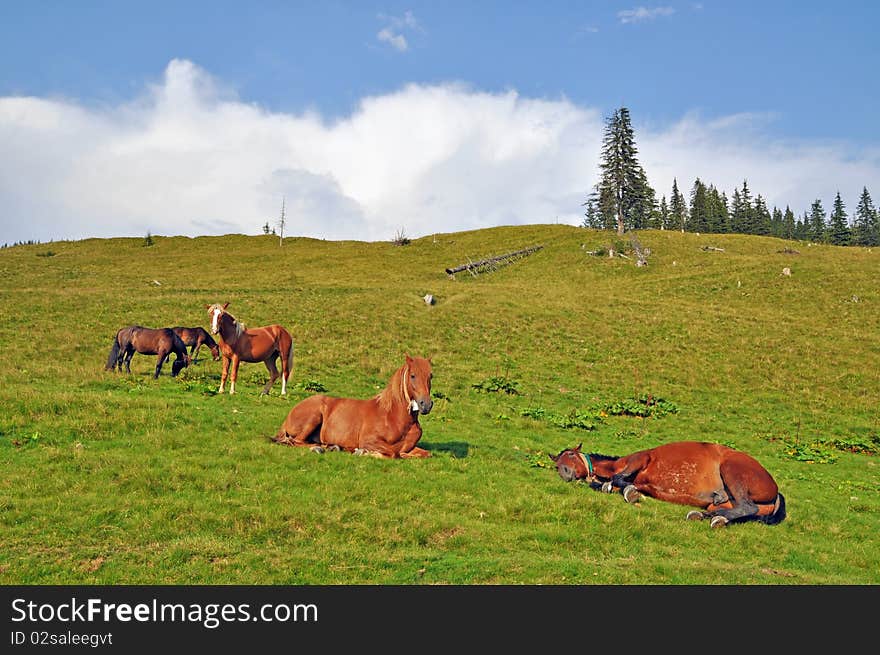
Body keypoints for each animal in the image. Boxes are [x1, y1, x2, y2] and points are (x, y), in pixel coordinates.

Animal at [270, 356, 432, 458]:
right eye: (412, 375)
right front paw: (364, 453)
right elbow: (393, 454)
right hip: (313, 418)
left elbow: (424, 454)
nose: (426, 404)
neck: (393, 417)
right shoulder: (369, 441)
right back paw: (322, 448)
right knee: (296, 442)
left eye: (431, 376)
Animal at [548, 440, 788, 528]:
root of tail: (775, 490)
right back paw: (707, 515)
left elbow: (618, 481)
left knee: (748, 507)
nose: (565, 473)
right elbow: (613, 485)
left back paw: (717, 517)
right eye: (556, 463)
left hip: (731, 469)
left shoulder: (640, 459)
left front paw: (629, 494)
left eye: (570, 454)